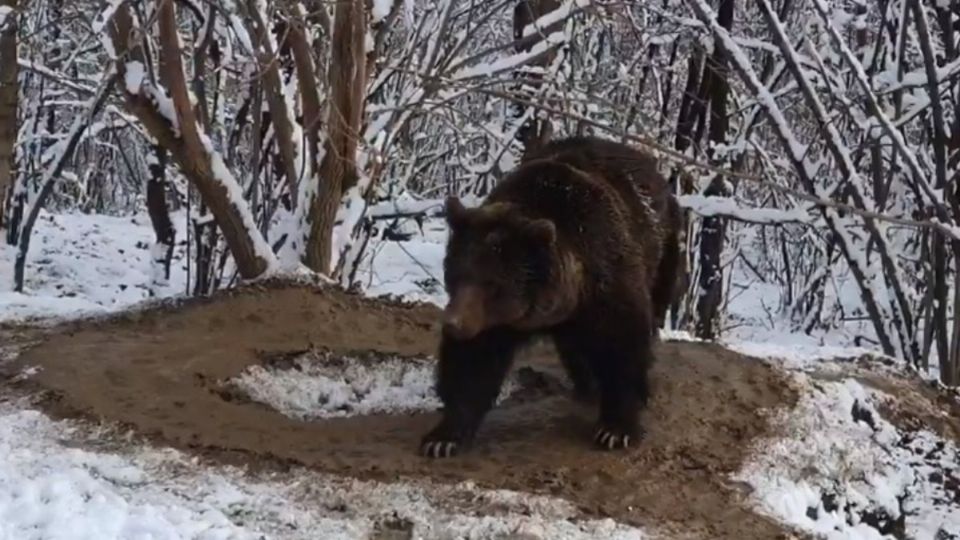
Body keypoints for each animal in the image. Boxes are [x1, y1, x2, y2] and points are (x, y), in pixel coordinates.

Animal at [422, 136, 684, 460]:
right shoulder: (494, 321)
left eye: (493, 284)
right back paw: (585, 382)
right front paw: (443, 437)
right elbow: (472, 362)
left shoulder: (607, 279)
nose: (454, 324)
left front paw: (615, 429)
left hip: (663, 251)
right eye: (455, 274)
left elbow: (622, 347)